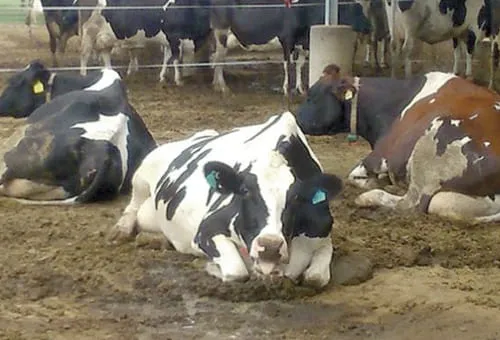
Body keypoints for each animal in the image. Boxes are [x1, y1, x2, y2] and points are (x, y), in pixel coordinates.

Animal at [109, 111, 344, 286]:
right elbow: (237, 271)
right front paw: (208, 266)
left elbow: (315, 276)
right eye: (245, 190)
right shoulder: (207, 229)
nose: (269, 246)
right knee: (133, 205)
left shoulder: (322, 231)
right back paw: (121, 231)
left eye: (295, 197)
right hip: (142, 175)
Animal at [296, 63, 500, 223]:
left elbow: (354, 177)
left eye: (311, 96)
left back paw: (370, 197)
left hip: (434, 141)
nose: (295, 117)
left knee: (411, 203)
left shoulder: (378, 157)